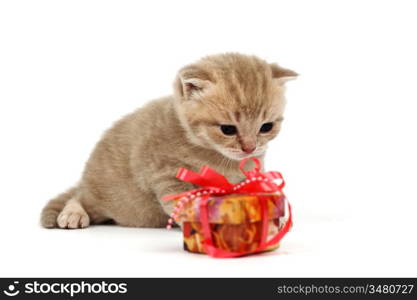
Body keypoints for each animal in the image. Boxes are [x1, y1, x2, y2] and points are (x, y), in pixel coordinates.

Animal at [40, 54, 296, 229]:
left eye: (266, 127)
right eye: (227, 129)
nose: (250, 147)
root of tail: (86, 177)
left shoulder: (248, 176)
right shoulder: (166, 175)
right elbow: (183, 203)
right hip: (109, 196)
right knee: (78, 197)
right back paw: (73, 214)